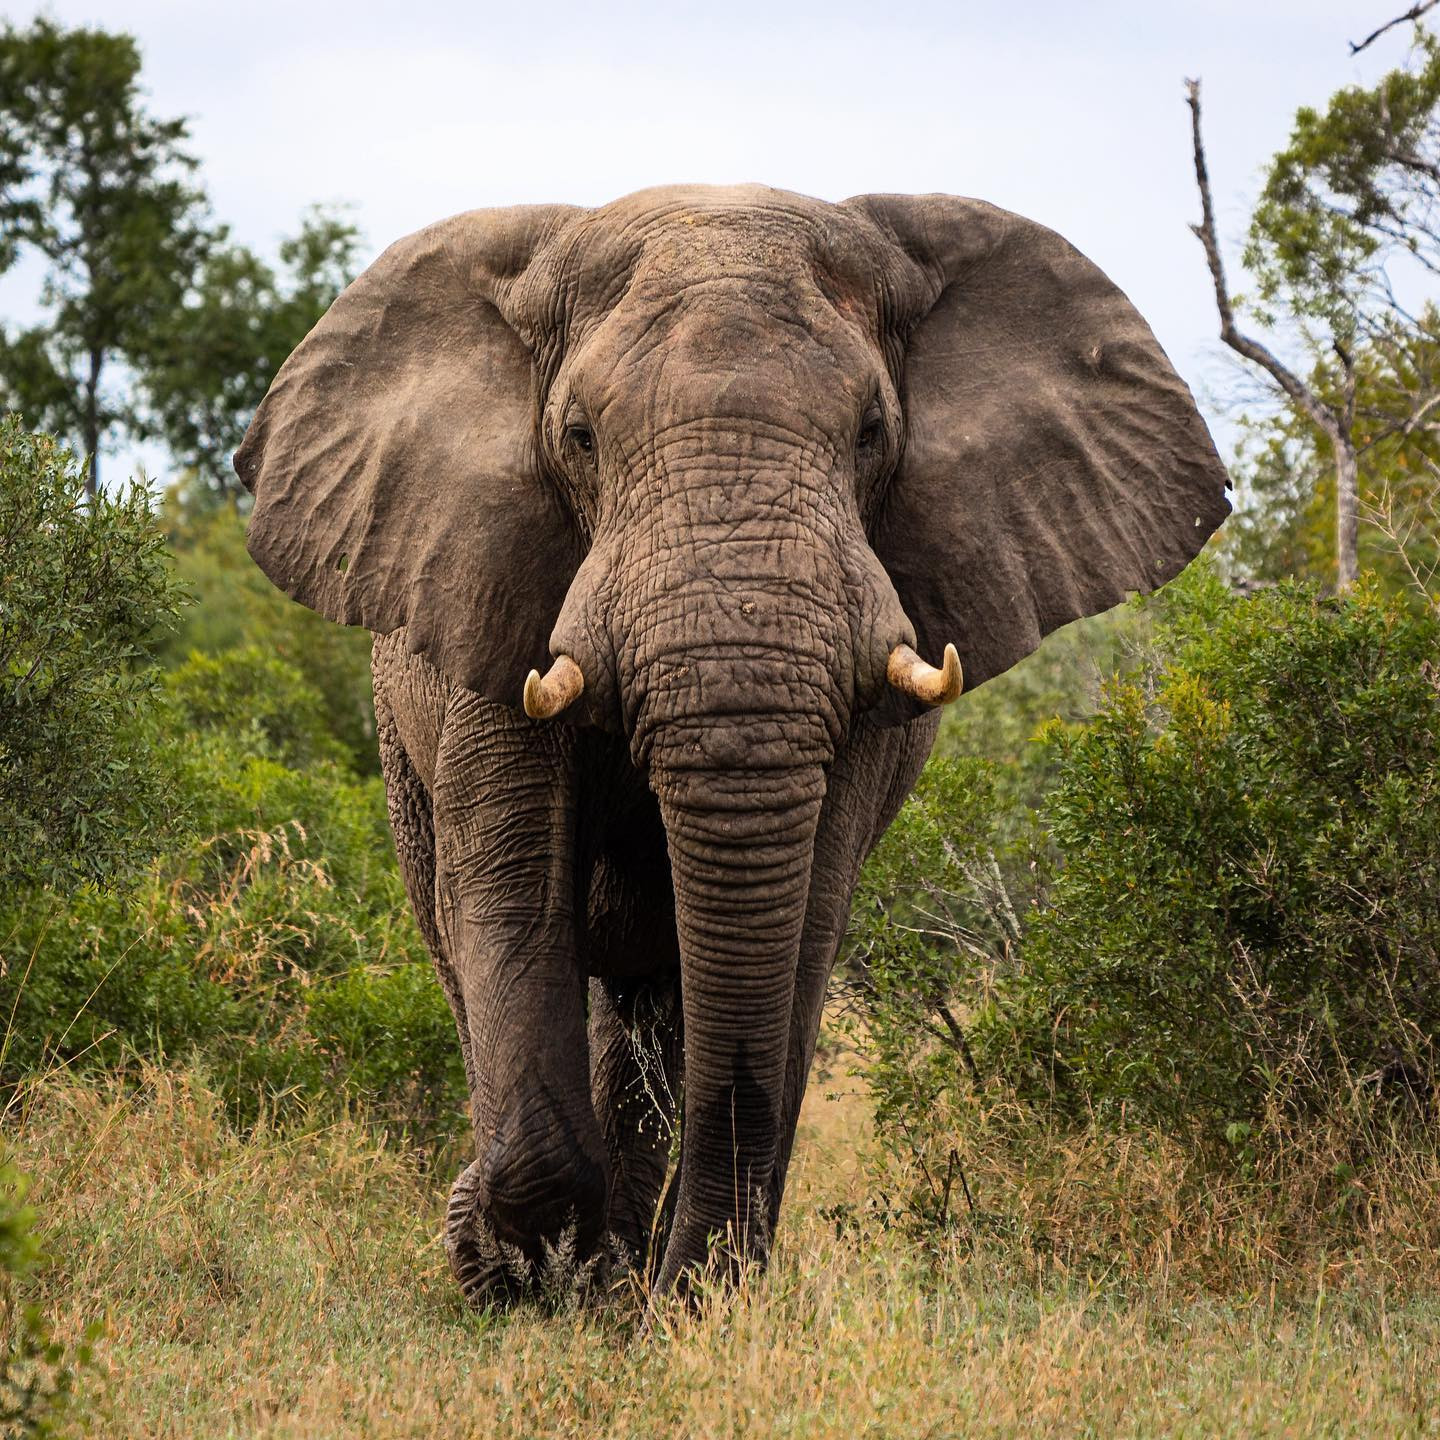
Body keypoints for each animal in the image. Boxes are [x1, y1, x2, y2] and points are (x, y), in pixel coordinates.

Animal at [235, 184, 1229, 1304]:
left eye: (872, 432)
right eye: (579, 435)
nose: (692, 1292)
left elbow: (803, 922)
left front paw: (678, 1302)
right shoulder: (492, 589)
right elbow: (510, 887)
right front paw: (517, 1270)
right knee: (466, 936)